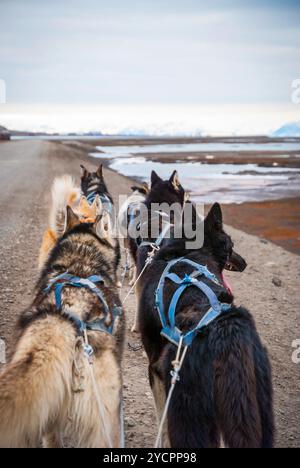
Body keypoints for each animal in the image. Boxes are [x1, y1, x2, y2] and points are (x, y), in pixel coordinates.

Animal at [138, 203, 274, 448]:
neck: (188, 253)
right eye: (232, 244)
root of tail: (225, 327)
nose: (245, 263)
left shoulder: (155, 368)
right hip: (259, 409)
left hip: (187, 412)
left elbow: (161, 420)